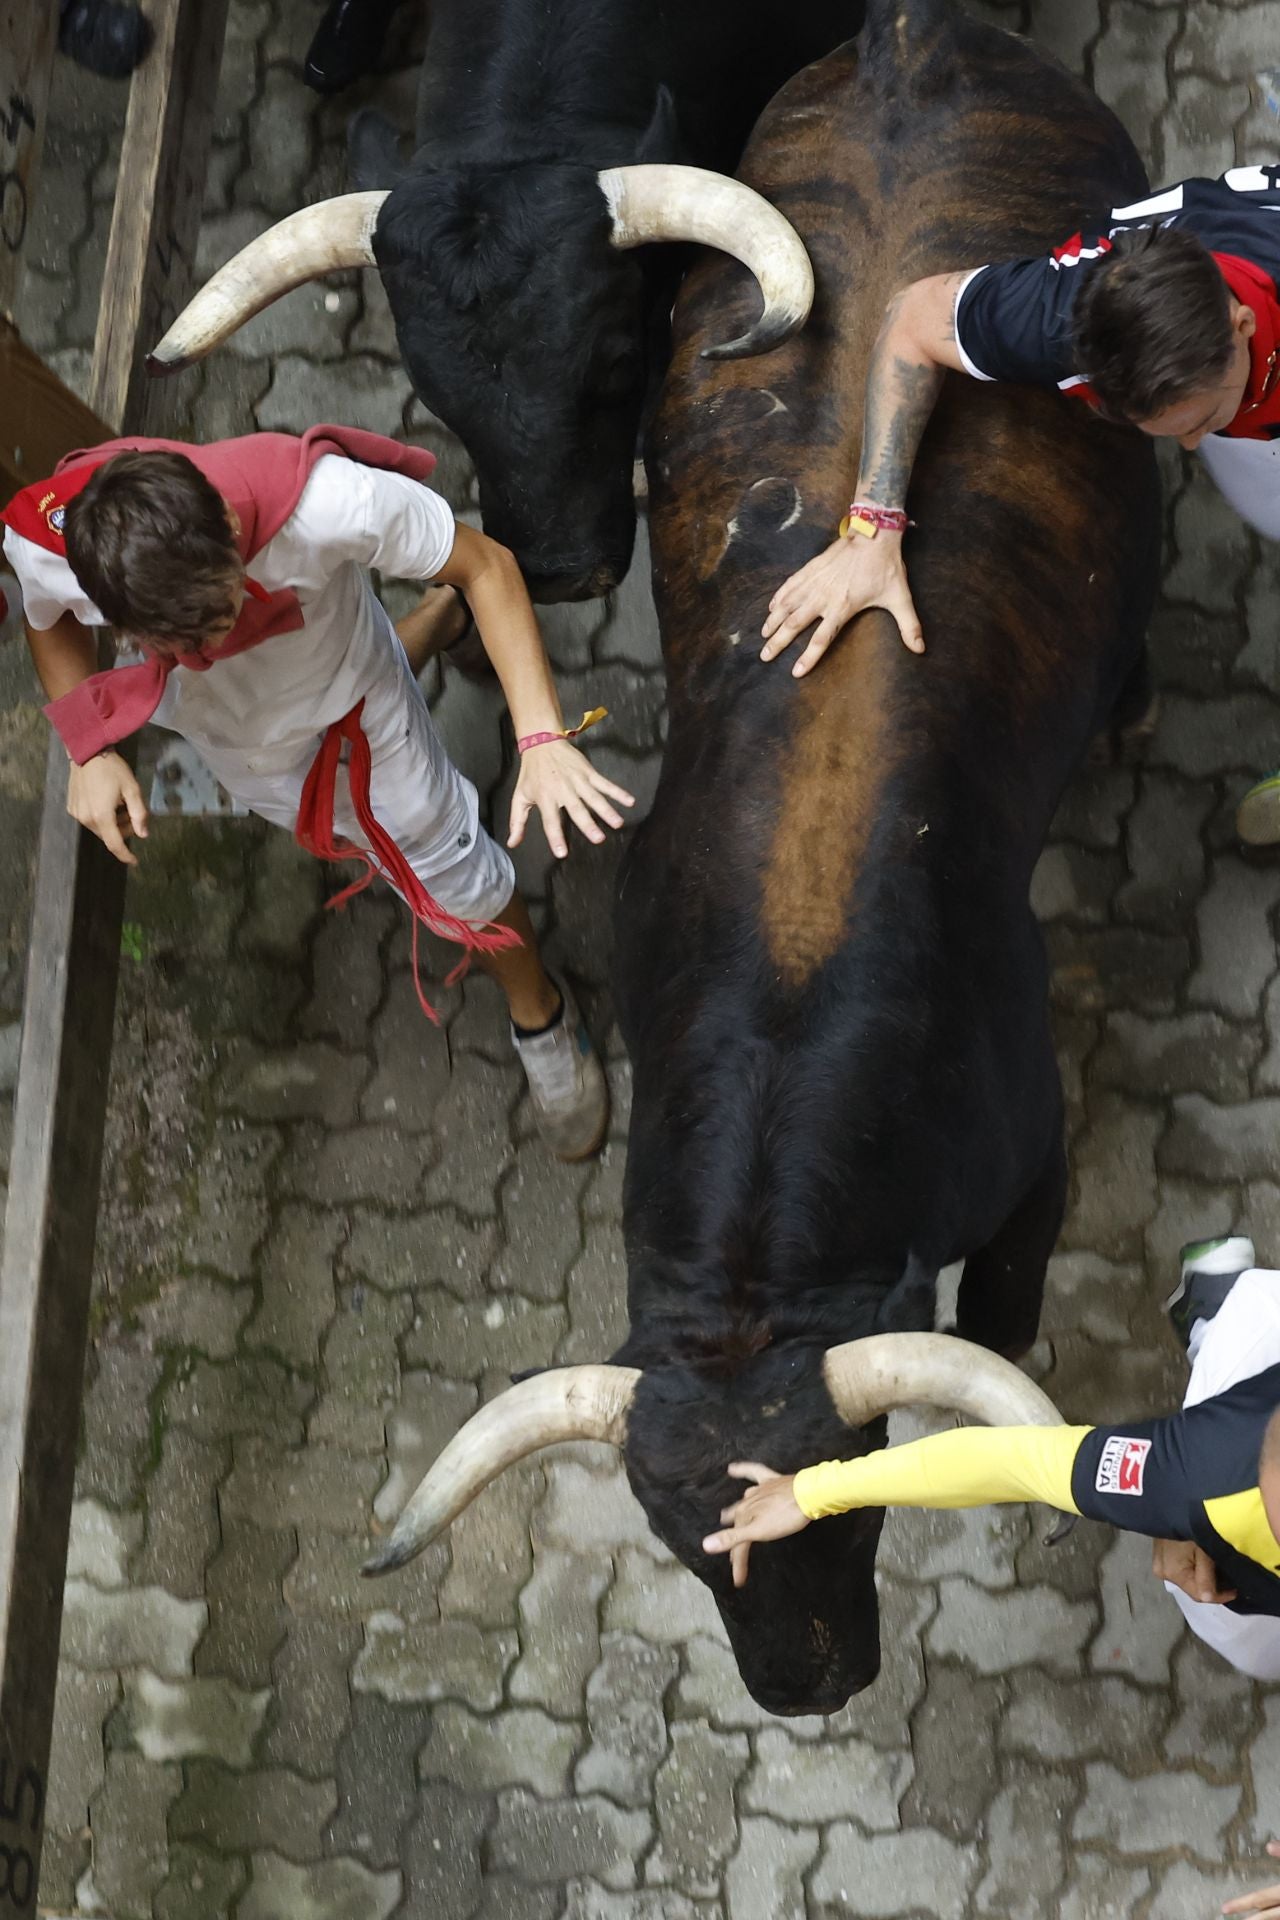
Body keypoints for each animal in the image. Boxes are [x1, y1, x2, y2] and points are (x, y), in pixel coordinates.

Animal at [610, 0, 1159, 1712]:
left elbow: (1015, 1308)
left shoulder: (1033, 1166)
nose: (804, 1691)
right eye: (675, 1548)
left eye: (852, 1510)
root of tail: (911, 37)